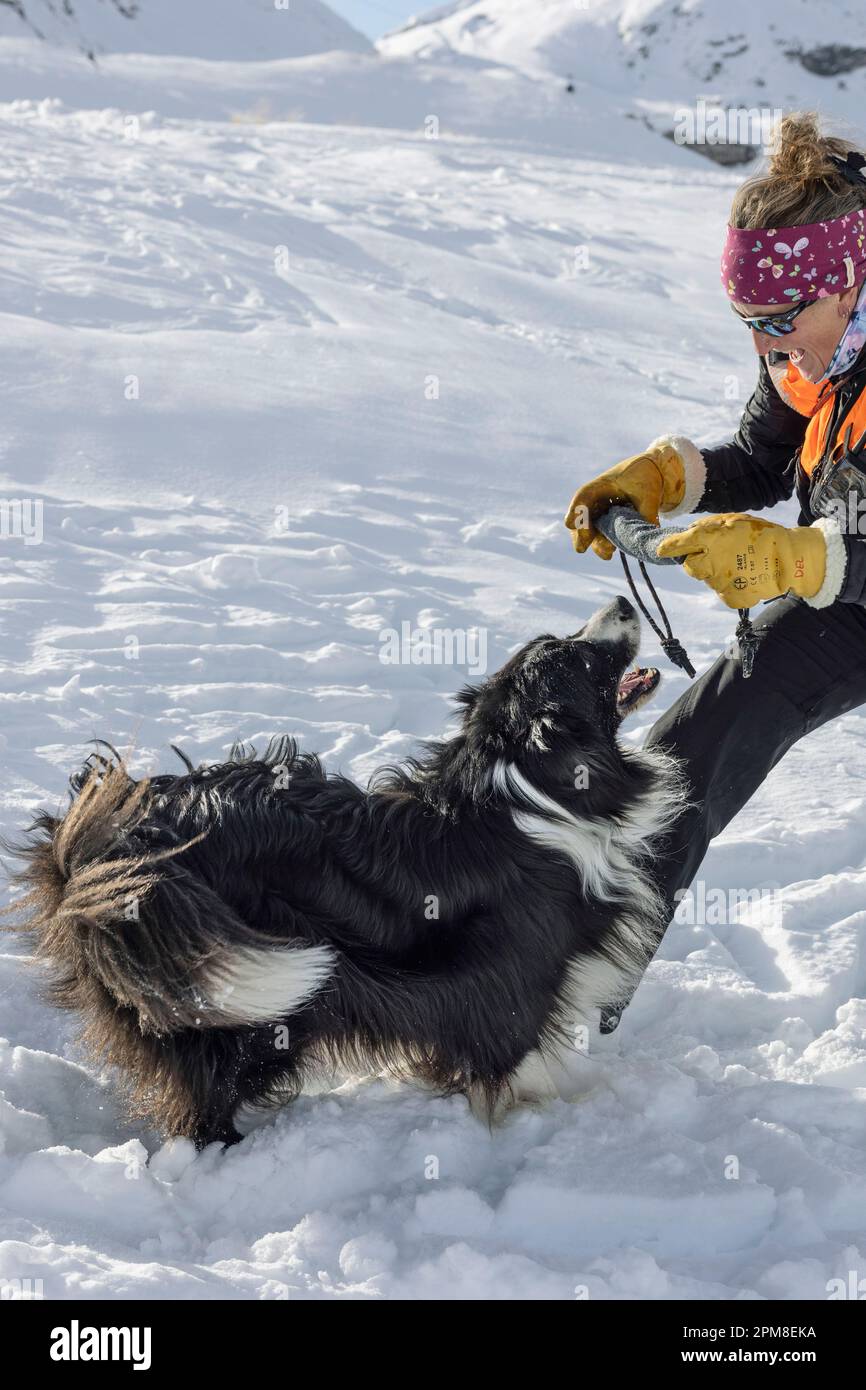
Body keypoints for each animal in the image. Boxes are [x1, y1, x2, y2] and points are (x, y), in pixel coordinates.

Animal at [8, 592, 683, 1145]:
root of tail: (117, 844)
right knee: (207, 1100)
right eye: (578, 656)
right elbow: (516, 1065)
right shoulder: (512, 983)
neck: (527, 778)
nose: (625, 599)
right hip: (244, 998)